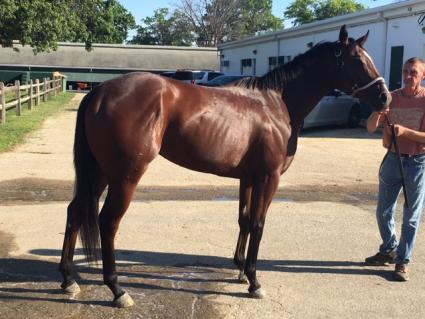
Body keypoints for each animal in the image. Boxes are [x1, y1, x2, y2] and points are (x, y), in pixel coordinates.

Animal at [58, 25, 390, 308]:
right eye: (357, 60)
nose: (385, 97)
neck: (276, 104)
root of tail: (98, 92)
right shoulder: (269, 178)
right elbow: (258, 224)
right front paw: (254, 282)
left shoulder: (249, 178)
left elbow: (244, 220)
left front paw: (240, 269)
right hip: (125, 174)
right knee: (108, 222)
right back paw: (117, 289)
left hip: (101, 172)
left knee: (75, 212)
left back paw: (68, 279)